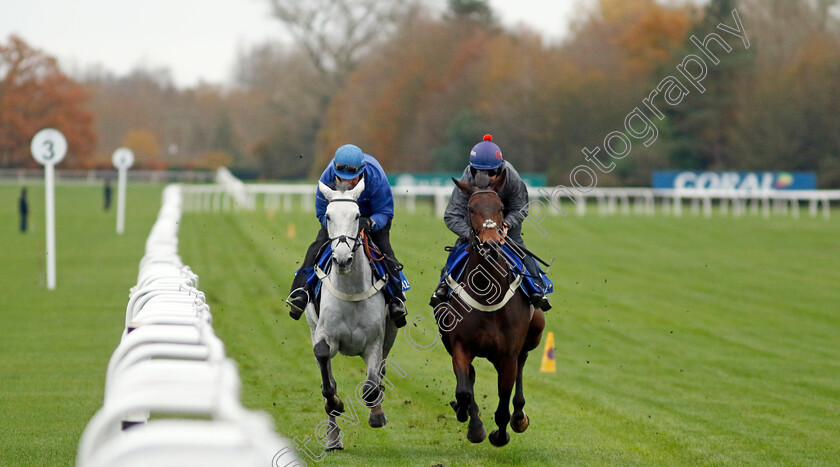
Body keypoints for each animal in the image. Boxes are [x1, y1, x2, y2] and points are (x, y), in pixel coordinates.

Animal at [306, 178, 400, 450]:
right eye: (328, 216)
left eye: (358, 215)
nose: (342, 258)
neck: (351, 289)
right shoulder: (324, 334)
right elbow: (327, 378)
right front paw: (335, 404)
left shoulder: (375, 342)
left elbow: (371, 386)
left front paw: (376, 413)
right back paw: (332, 438)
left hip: (390, 333)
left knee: (380, 374)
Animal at [436, 172, 548, 446]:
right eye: (470, 208)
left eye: (499, 207)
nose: (490, 245)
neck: (487, 295)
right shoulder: (459, 346)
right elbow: (464, 390)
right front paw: (472, 423)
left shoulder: (507, 354)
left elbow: (503, 402)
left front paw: (501, 433)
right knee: (472, 377)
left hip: (534, 336)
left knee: (521, 366)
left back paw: (519, 417)